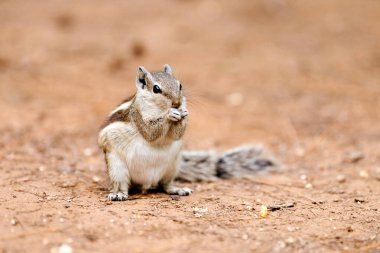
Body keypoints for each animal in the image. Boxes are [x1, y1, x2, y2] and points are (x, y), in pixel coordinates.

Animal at [98, 64, 276, 201]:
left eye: (180, 85)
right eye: (156, 89)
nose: (177, 103)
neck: (159, 108)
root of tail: (144, 183)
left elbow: (176, 134)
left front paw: (184, 113)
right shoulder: (137, 116)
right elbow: (150, 133)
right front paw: (170, 114)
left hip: (172, 167)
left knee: (165, 185)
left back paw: (178, 189)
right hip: (117, 168)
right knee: (121, 185)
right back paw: (119, 194)